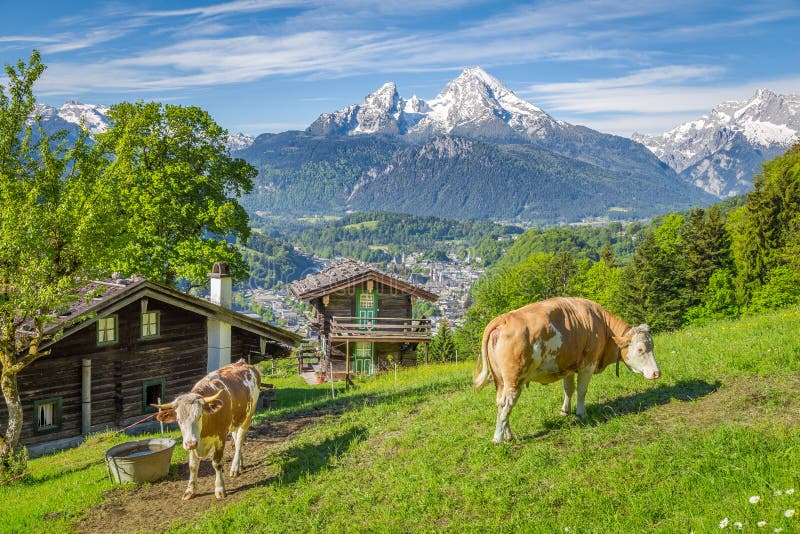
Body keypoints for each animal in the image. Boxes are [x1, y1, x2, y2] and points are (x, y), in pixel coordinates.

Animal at [152, 359, 261, 500]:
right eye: (179, 420)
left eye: (199, 416)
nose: (190, 443)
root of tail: (242, 362)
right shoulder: (193, 441)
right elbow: (193, 466)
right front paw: (190, 491)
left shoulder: (220, 437)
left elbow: (217, 463)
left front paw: (220, 489)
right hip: (236, 420)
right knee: (236, 439)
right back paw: (240, 464)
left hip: (248, 415)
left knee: (240, 440)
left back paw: (235, 467)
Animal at [474, 297, 660, 443]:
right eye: (640, 349)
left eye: (652, 346)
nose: (657, 373)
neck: (603, 326)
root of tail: (504, 318)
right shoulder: (588, 364)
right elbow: (582, 390)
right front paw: (581, 413)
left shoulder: (568, 367)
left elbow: (568, 389)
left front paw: (565, 411)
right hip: (513, 380)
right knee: (506, 404)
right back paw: (498, 439)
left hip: (501, 381)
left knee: (501, 403)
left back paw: (508, 435)